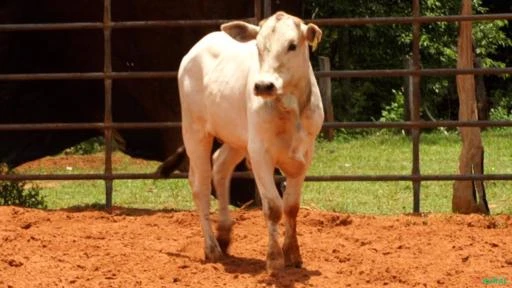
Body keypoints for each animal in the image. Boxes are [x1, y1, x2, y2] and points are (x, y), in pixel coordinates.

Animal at [179, 10, 324, 272]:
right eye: (258, 46)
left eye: (292, 45)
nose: (264, 85)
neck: (290, 110)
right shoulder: (259, 154)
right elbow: (274, 208)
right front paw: (274, 259)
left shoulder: (305, 155)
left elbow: (291, 207)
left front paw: (293, 254)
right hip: (194, 131)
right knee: (200, 185)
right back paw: (212, 248)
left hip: (236, 138)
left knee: (221, 167)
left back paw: (224, 234)